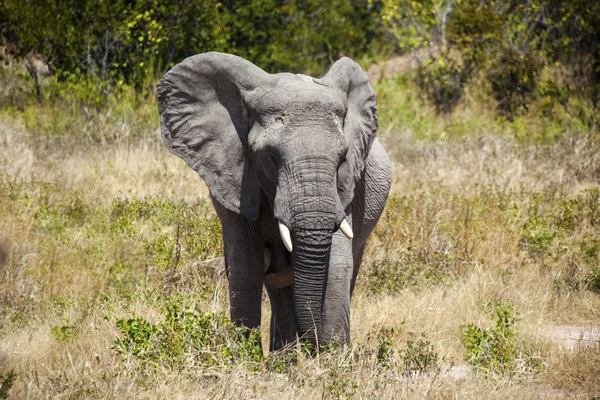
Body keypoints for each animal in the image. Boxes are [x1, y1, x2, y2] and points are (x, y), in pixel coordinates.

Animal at [157, 52, 392, 350]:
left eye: (342, 158)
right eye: (270, 157)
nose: (313, 349)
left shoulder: (346, 190)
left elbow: (337, 266)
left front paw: (332, 358)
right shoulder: (234, 180)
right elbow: (246, 268)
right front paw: (246, 355)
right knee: (279, 288)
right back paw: (285, 355)